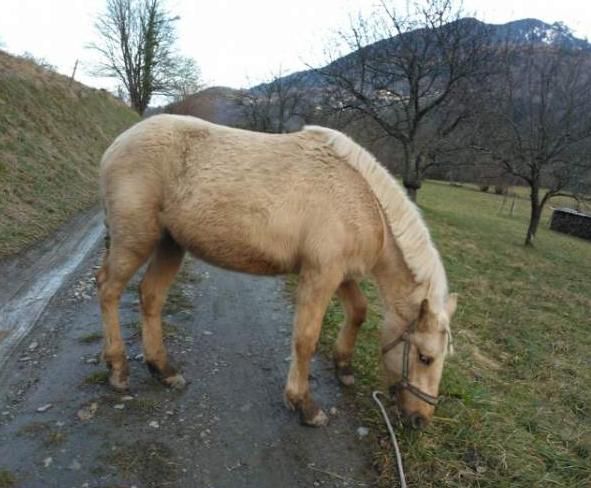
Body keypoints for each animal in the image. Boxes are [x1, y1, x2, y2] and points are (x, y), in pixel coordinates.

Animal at [96, 114, 457, 428]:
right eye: (425, 357)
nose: (420, 420)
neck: (362, 201)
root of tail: (119, 142)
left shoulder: (340, 274)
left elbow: (358, 310)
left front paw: (343, 366)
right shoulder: (320, 276)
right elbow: (305, 339)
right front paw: (304, 404)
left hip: (170, 244)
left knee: (150, 296)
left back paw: (163, 369)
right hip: (136, 240)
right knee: (108, 290)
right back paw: (118, 369)